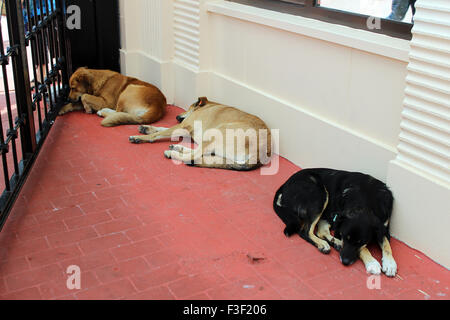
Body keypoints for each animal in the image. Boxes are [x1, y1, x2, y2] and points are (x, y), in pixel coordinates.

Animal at [128, 97, 272, 171]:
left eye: (189, 107)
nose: (177, 116)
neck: (208, 105)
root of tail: (262, 151)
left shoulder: (183, 126)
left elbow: (161, 132)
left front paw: (140, 137)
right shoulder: (184, 128)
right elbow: (162, 128)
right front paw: (147, 128)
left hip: (217, 133)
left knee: (193, 155)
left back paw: (173, 153)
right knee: (198, 155)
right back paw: (177, 148)